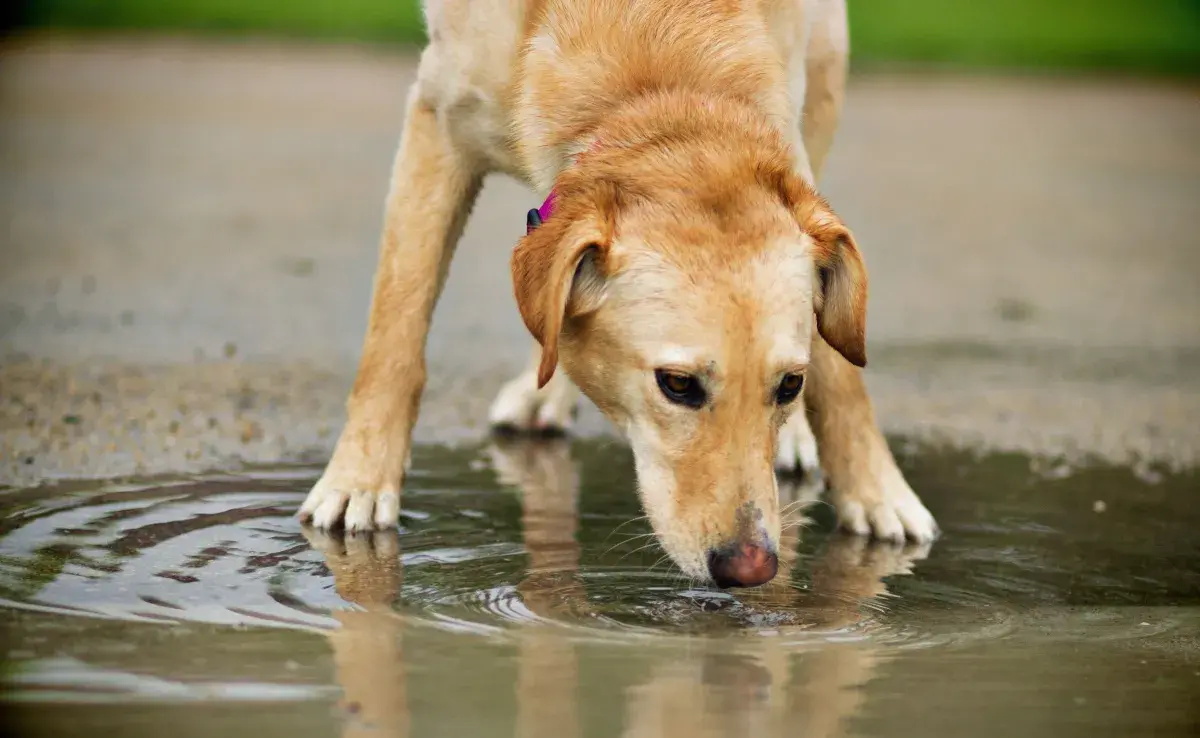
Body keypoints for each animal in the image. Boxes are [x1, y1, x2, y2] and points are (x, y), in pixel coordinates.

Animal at [297, 1, 936, 588]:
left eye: (789, 385)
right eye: (677, 385)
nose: (751, 568)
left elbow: (840, 373)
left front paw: (877, 492)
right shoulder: (437, 124)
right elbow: (396, 330)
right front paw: (358, 481)